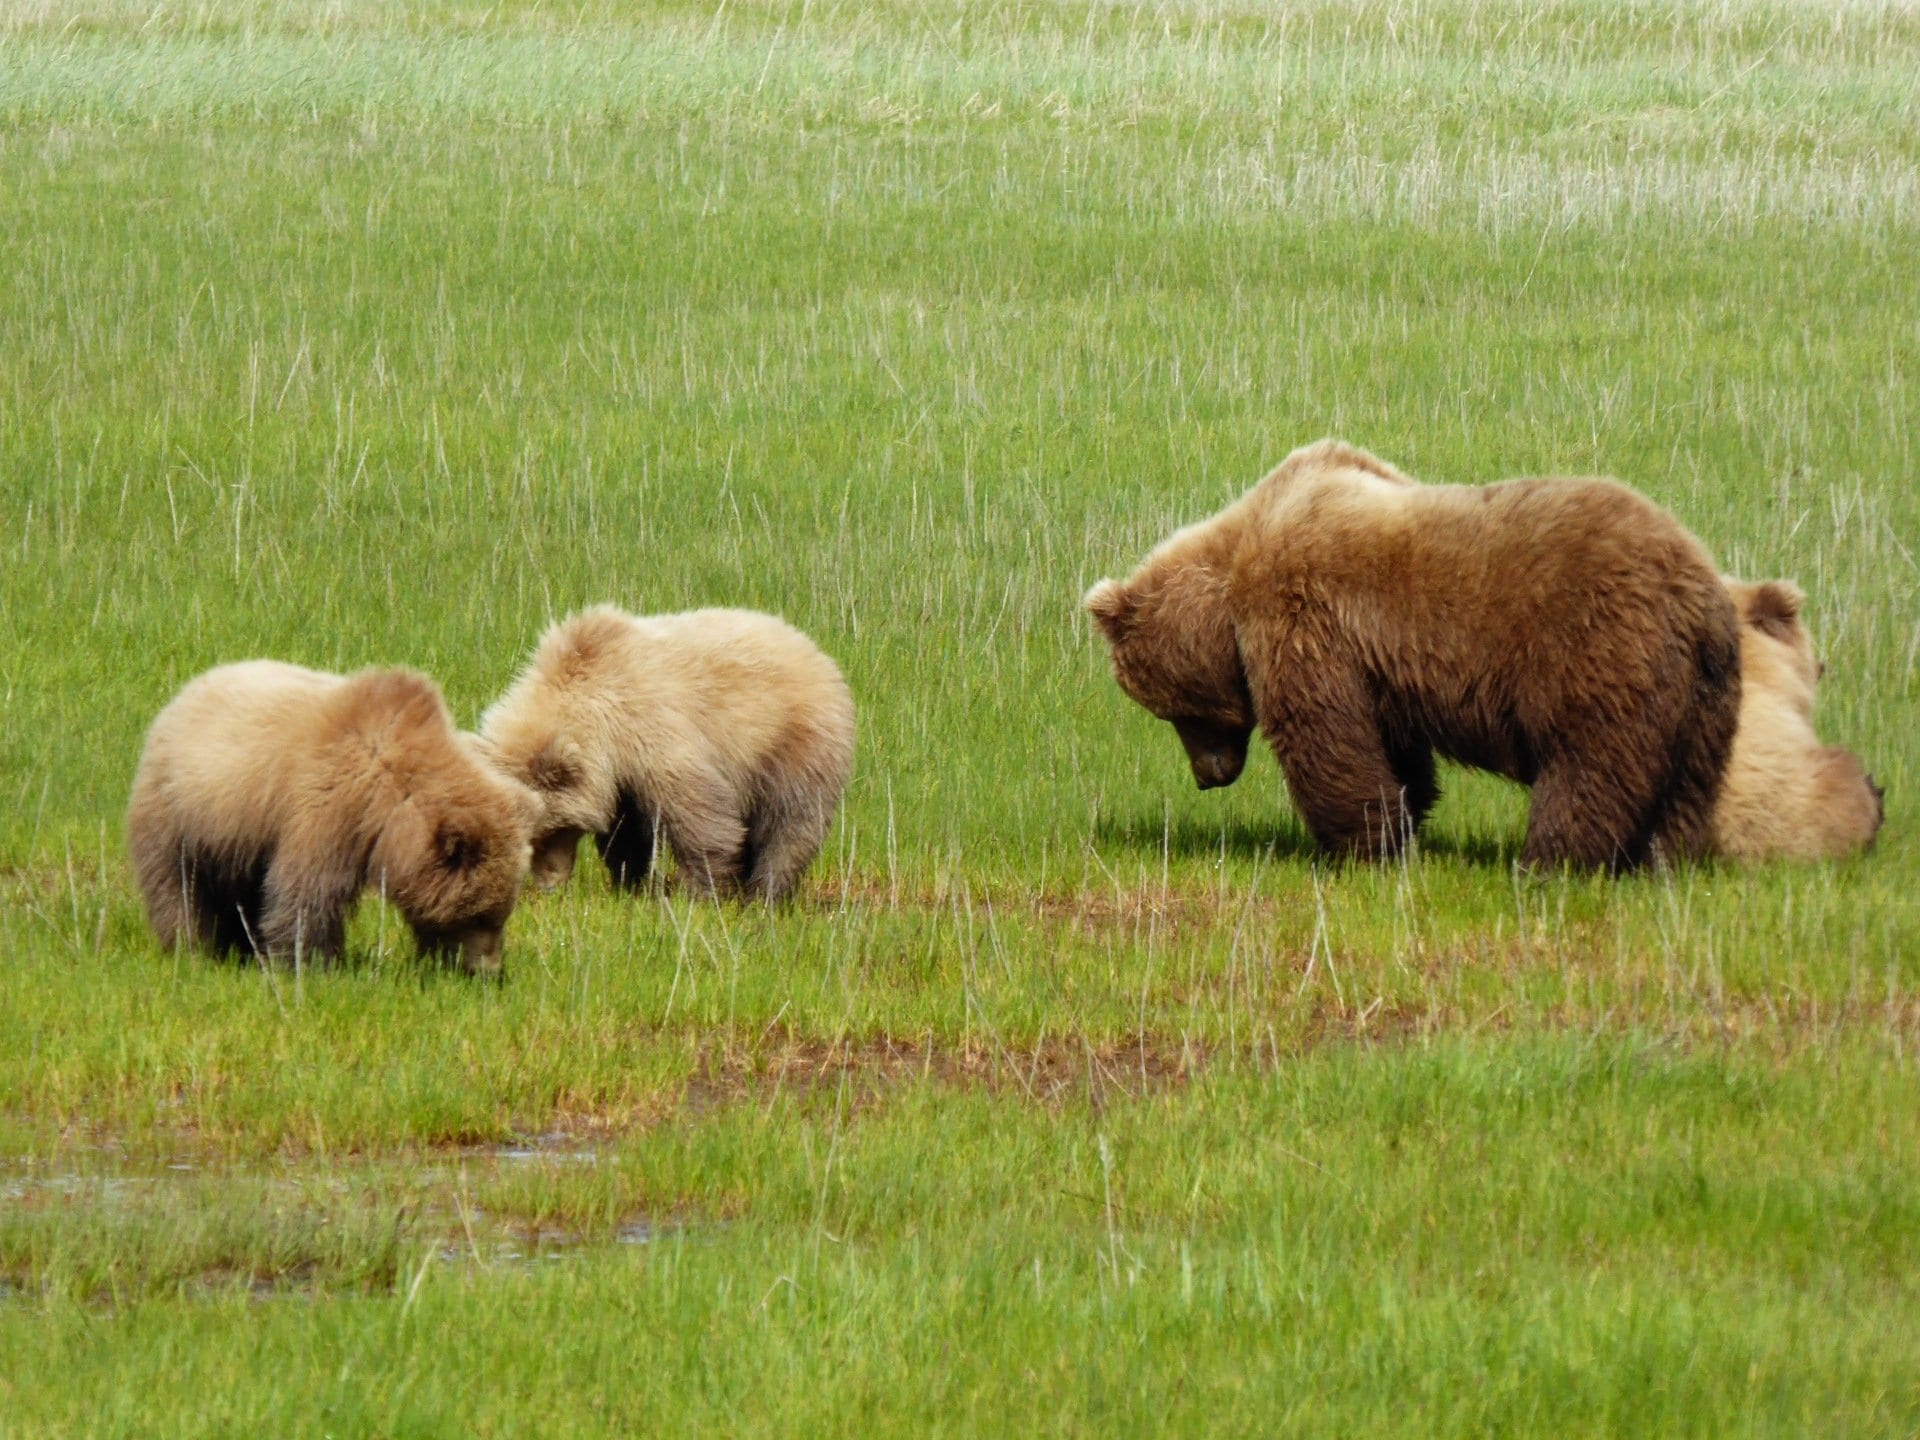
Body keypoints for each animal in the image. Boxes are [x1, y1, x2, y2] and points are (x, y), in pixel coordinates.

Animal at [128, 660, 537, 975]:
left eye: (500, 913)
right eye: (480, 915)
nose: (488, 972)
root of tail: (185, 693)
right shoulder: (326, 807)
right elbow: (308, 893)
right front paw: (312, 965)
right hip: (183, 813)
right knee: (180, 888)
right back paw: (192, 949)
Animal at [476, 606, 852, 902]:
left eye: (553, 829)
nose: (550, 884)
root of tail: (818, 652)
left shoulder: (654, 737)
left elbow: (699, 817)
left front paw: (703, 892)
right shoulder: (621, 777)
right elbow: (626, 833)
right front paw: (629, 883)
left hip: (791, 741)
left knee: (791, 822)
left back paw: (766, 893)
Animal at [1090, 437, 1751, 867]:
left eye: (1174, 711)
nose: (1209, 776)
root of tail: (1699, 591)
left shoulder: (1301, 615)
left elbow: (1325, 735)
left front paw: (1360, 848)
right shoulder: (1371, 662)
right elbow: (1391, 745)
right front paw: (1405, 819)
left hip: (1598, 646)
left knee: (1589, 766)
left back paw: (1549, 861)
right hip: (1705, 695)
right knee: (1687, 784)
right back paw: (1664, 858)